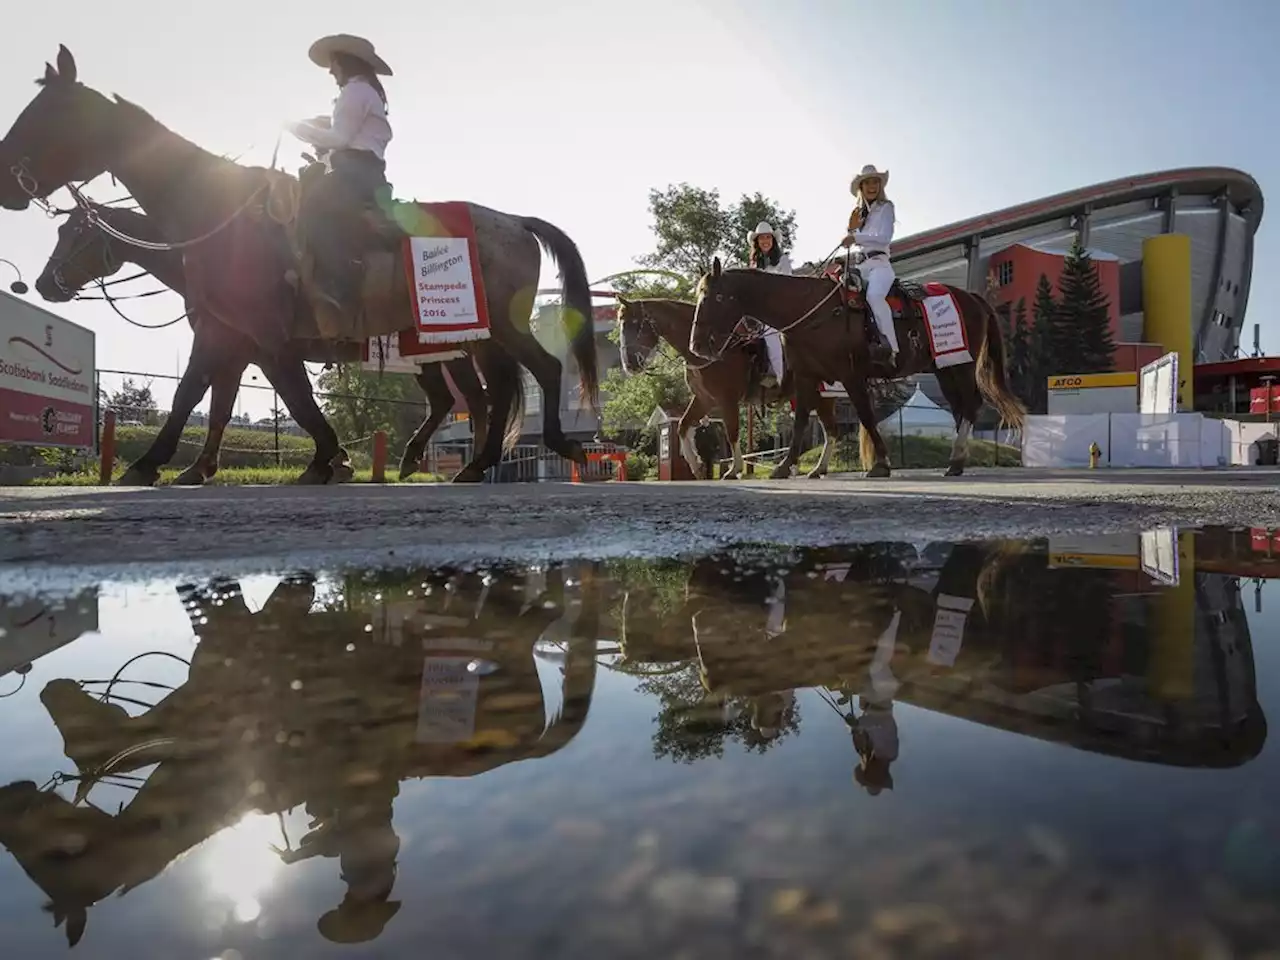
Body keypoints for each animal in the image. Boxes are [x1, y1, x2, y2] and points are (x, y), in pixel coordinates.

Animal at [32, 206, 517, 483]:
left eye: (78, 233)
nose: (43, 284)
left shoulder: (243, 346)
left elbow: (198, 396)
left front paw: (149, 463)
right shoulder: (238, 350)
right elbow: (221, 408)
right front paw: (199, 467)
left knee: (474, 397)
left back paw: (466, 462)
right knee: (459, 399)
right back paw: (441, 460)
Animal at [616, 296, 844, 481]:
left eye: (635, 324)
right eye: (622, 325)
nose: (630, 364)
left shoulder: (727, 399)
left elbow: (731, 432)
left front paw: (734, 469)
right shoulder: (704, 399)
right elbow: (682, 425)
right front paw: (697, 466)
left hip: (822, 396)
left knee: (826, 430)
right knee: (826, 430)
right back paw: (812, 468)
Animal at [686, 261, 1024, 478]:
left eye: (717, 296)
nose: (697, 344)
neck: (812, 312)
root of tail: (973, 297)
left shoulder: (850, 376)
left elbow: (865, 415)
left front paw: (881, 463)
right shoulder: (807, 378)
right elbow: (800, 422)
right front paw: (784, 466)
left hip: (961, 365)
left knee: (970, 405)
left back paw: (956, 460)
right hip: (945, 367)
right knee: (959, 407)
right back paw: (957, 460)